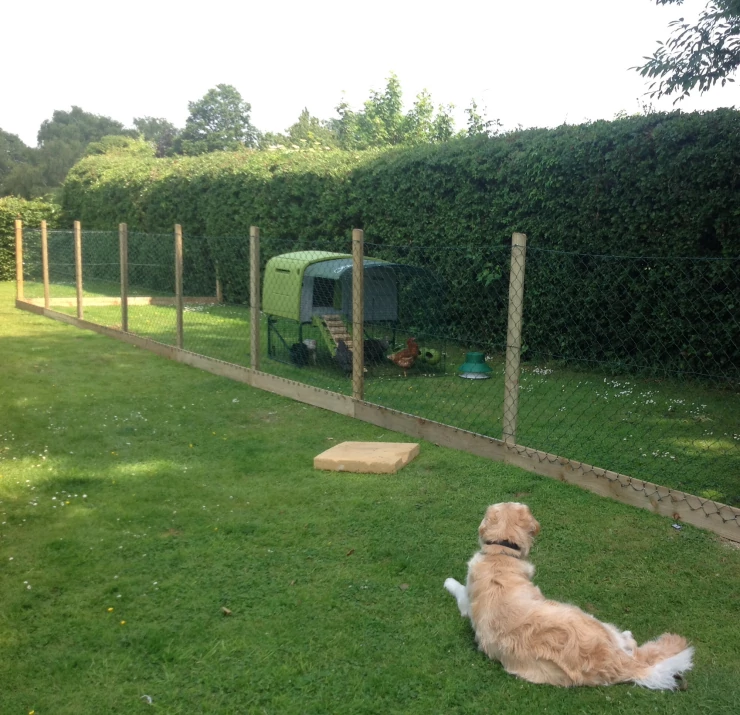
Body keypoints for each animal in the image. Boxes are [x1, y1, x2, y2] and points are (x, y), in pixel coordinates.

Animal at [443, 502, 693, 689]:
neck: (501, 554)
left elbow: (457, 587)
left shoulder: (467, 603)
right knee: (634, 648)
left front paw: (447, 581)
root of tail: (618, 663)